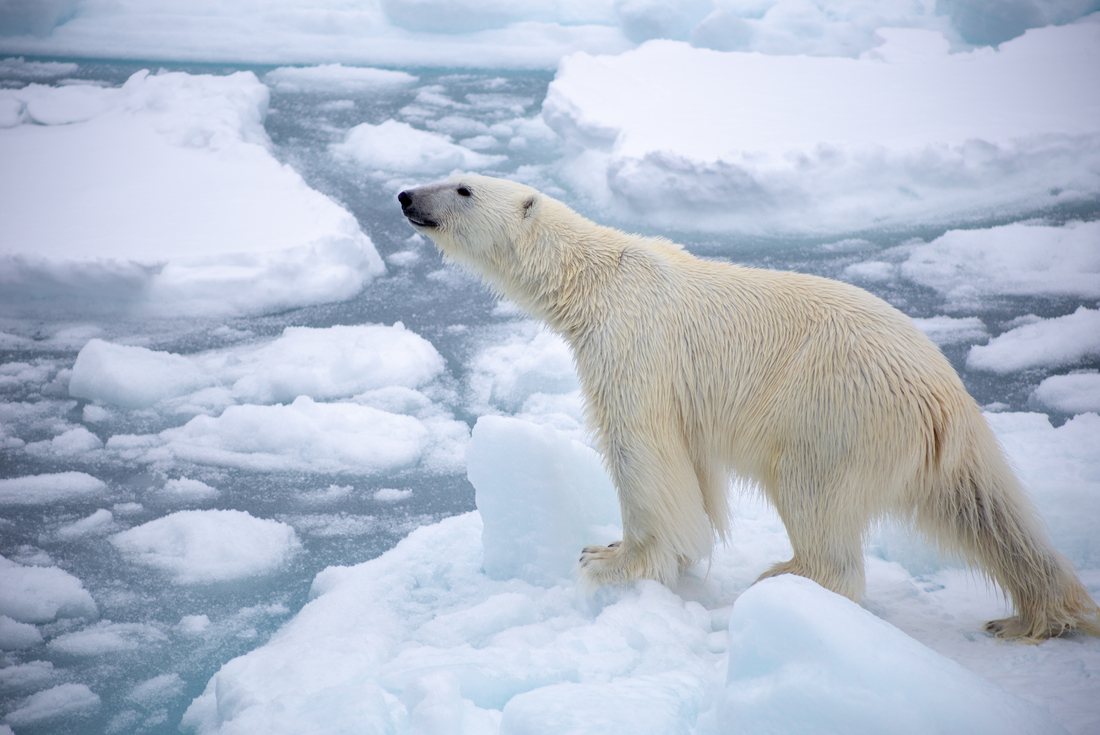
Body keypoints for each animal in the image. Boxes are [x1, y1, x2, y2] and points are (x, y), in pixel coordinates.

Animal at [400, 174, 1100, 638]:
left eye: (462, 187)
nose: (406, 196)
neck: (596, 278)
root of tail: (944, 395)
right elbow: (693, 470)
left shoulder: (633, 342)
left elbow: (641, 449)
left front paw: (610, 560)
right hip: (941, 442)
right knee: (989, 511)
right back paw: (1039, 612)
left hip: (836, 412)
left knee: (814, 493)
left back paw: (787, 577)